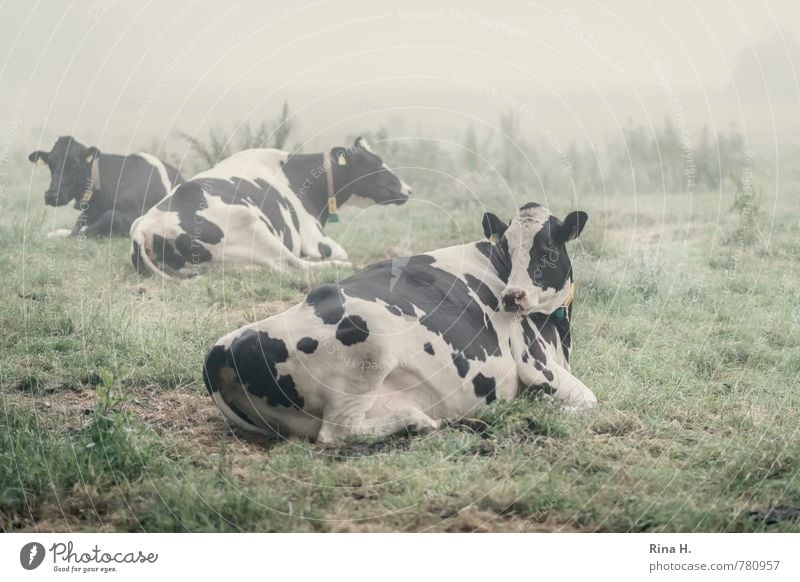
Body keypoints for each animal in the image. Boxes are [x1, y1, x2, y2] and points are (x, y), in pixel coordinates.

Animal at [29, 136, 183, 238]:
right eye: (50, 164)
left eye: (75, 163)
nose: (51, 195)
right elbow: (75, 227)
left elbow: (111, 216)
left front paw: (85, 231)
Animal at [130, 137, 412, 278]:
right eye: (374, 165)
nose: (408, 189)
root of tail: (145, 227)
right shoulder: (315, 238)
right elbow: (338, 252)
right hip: (252, 223)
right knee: (291, 265)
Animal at [203, 203, 596, 444]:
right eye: (507, 250)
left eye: (548, 251)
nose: (513, 296)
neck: (560, 334)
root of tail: (224, 347)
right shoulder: (537, 366)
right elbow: (589, 400)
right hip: (369, 349)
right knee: (338, 432)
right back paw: (415, 421)